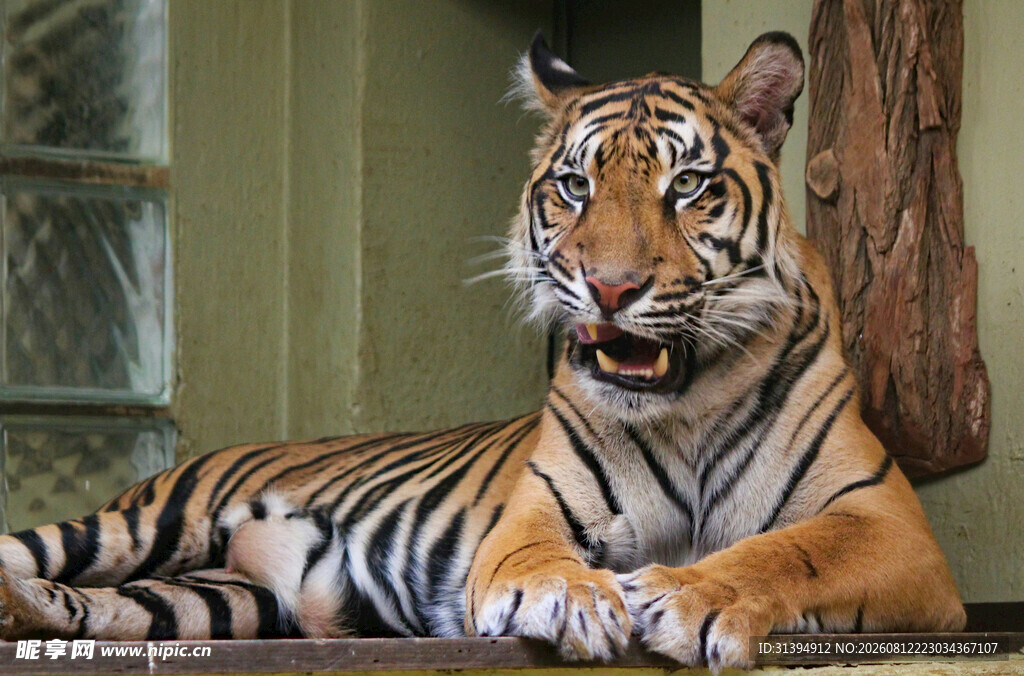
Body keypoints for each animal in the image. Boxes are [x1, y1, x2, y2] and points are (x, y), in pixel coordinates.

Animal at [0, 31, 965, 670]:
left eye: (687, 185)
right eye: (574, 186)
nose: (611, 287)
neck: (683, 404)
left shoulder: (893, 527)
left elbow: (788, 550)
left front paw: (691, 595)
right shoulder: (535, 513)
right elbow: (539, 558)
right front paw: (570, 596)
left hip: (213, 600)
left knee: (100, 611)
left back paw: (26, 614)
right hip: (150, 522)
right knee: (38, 549)